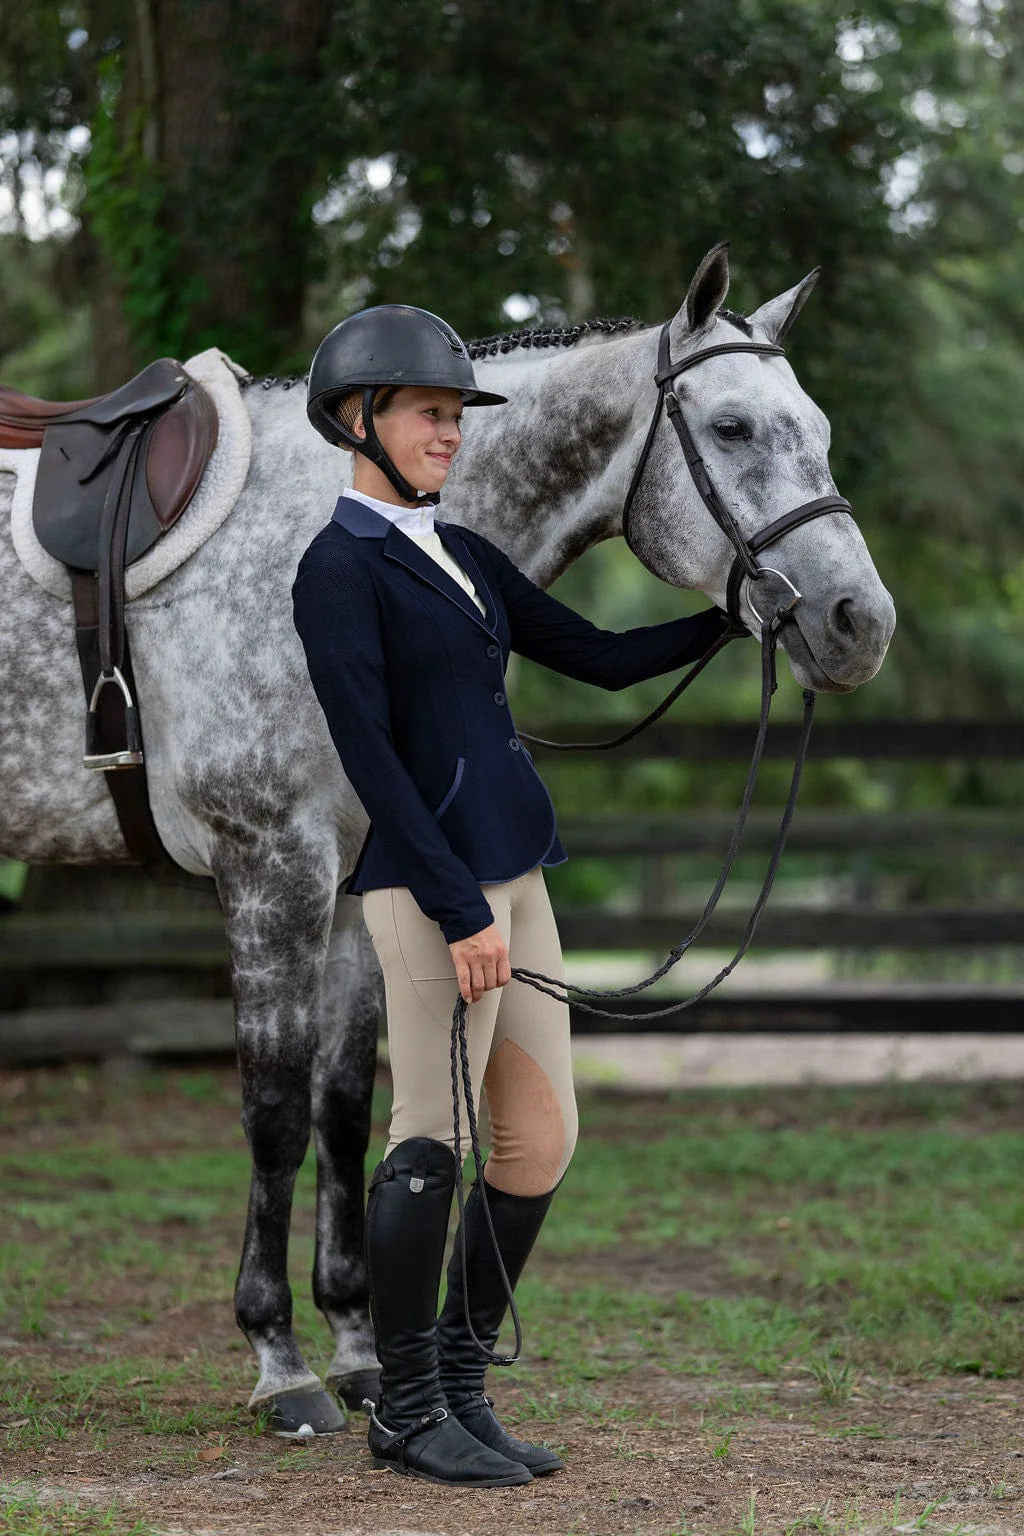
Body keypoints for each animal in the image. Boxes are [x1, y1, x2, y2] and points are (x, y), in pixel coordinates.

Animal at [0, 245, 895, 1434]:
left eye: (820, 428)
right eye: (736, 426)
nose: (857, 623)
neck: (319, 535)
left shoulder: (354, 881)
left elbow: (343, 1109)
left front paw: (356, 1343)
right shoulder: (270, 869)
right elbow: (275, 1113)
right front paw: (279, 1363)